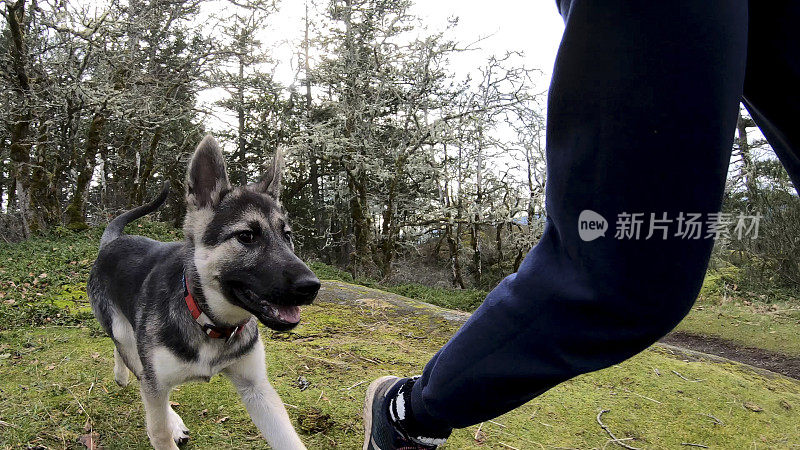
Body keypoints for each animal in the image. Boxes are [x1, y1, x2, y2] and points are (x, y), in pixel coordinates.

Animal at [87, 135, 318, 448]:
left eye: (287, 236)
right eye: (246, 236)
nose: (312, 286)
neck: (209, 320)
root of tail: (111, 243)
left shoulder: (256, 389)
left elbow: (288, 439)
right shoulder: (155, 383)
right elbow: (158, 428)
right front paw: (168, 427)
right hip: (125, 336)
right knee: (130, 356)